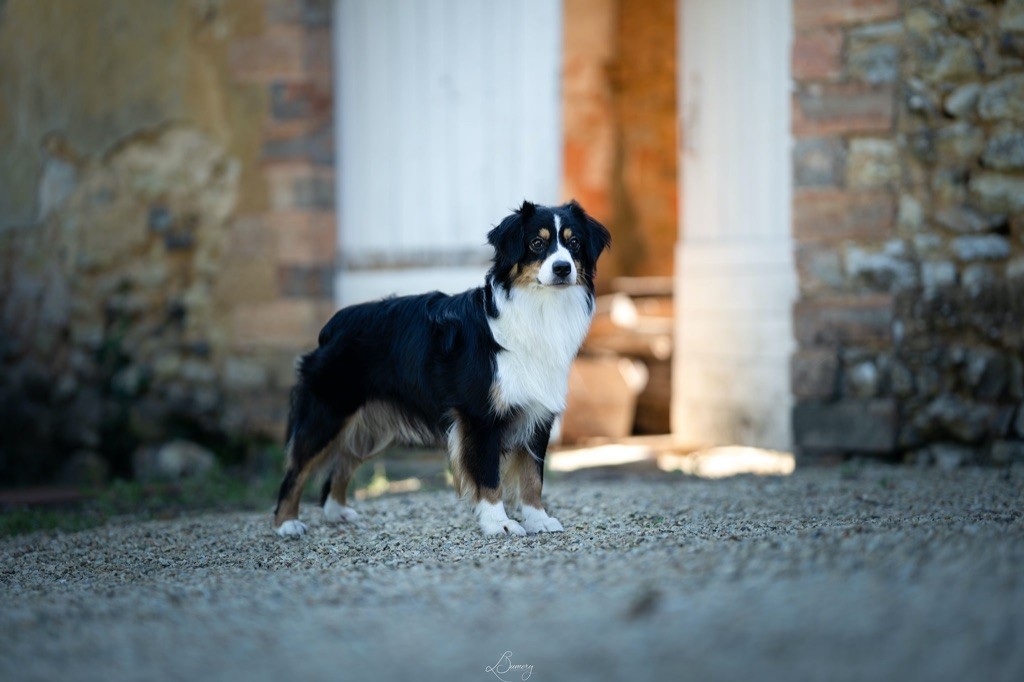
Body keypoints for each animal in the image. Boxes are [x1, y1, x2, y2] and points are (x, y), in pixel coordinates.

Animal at [274, 199, 606, 532]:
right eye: (537, 243)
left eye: (574, 243)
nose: (563, 268)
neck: (539, 307)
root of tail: (333, 325)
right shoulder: (480, 416)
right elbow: (489, 475)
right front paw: (499, 523)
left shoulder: (538, 412)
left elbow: (532, 475)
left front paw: (538, 518)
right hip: (328, 412)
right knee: (296, 469)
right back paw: (286, 523)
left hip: (367, 425)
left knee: (342, 461)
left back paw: (336, 511)